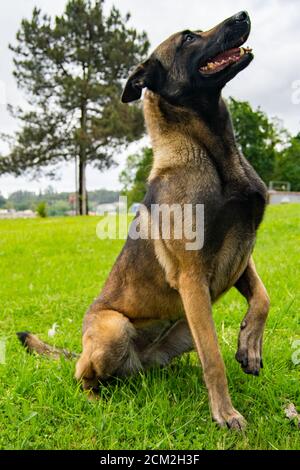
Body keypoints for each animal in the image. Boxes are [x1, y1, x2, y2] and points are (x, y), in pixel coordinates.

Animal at [18, 11, 270, 430]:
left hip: (183, 329)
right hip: (114, 329)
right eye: (188, 38)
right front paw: (225, 413)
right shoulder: (192, 275)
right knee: (81, 376)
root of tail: (136, 363)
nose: (243, 16)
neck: (211, 151)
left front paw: (249, 344)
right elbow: (214, 359)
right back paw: (96, 401)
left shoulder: (242, 252)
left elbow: (262, 298)